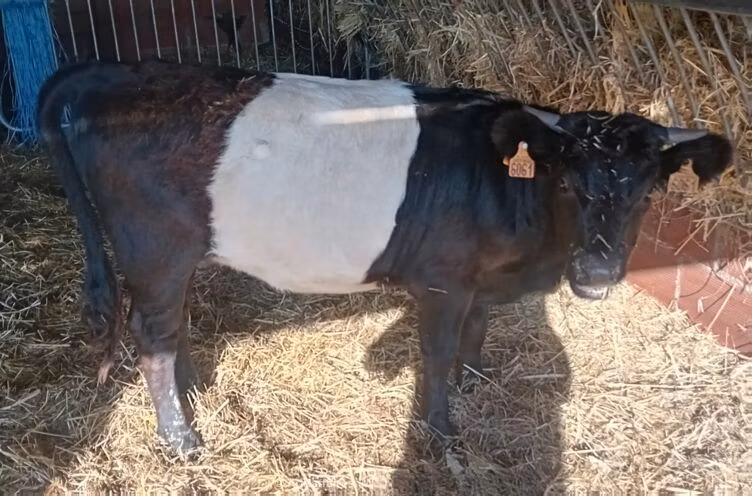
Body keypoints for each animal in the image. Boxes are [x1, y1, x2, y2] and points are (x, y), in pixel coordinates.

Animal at [36, 59, 733, 456]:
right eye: (565, 181)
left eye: (649, 190)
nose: (597, 272)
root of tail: (107, 72)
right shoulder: (444, 281)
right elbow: (437, 350)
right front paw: (442, 430)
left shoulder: (478, 281)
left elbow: (477, 332)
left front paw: (474, 381)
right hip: (153, 250)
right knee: (152, 337)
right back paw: (180, 439)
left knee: (170, 328)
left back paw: (191, 391)